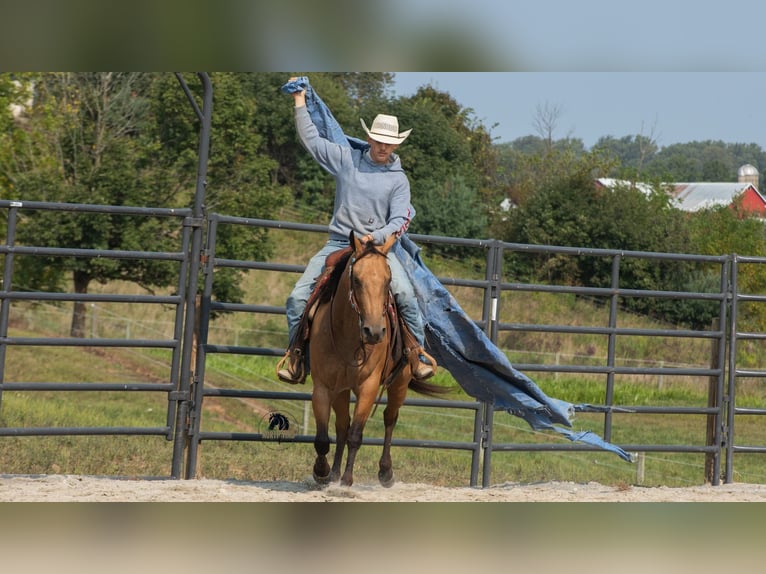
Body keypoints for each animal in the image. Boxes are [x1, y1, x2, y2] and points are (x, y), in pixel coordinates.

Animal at [308, 232, 448, 487]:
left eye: (388, 280)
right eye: (356, 280)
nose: (374, 332)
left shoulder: (369, 386)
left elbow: (356, 434)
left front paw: (347, 482)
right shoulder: (323, 386)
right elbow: (324, 437)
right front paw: (322, 473)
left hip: (400, 382)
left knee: (389, 418)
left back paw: (385, 472)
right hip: (342, 389)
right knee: (342, 425)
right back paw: (334, 473)